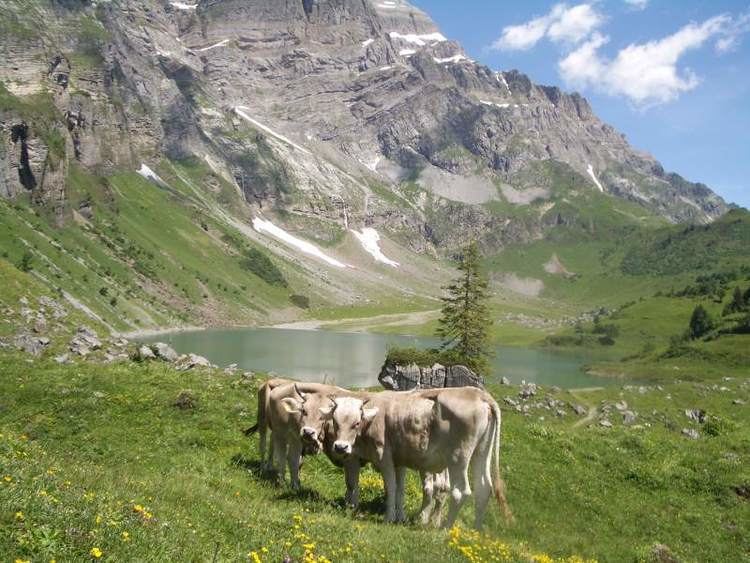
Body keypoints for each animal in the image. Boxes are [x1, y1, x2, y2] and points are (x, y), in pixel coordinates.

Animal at [320, 388, 516, 528]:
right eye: (335, 422)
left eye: (356, 423)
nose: (340, 447)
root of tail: (479, 394)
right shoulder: (399, 461)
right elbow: (400, 489)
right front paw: (400, 517)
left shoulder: (384, 458)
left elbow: (389, 487)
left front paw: (388, 518)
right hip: (481, 452)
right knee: (484, 488)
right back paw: (476, 529)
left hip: (458, 457)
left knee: (460, 491)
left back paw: (444, 528)